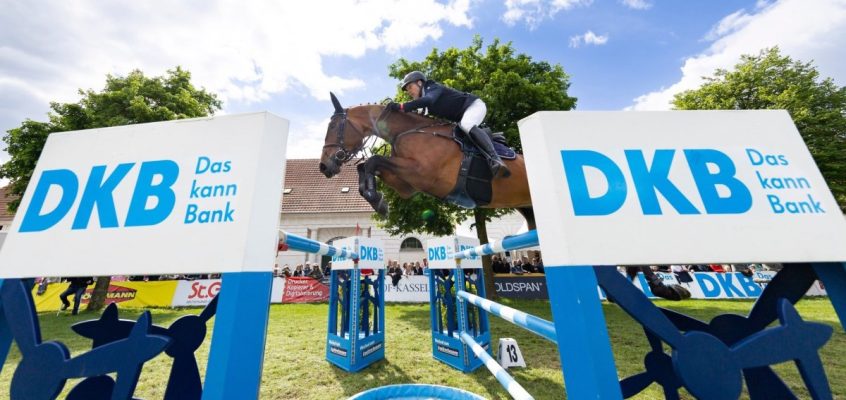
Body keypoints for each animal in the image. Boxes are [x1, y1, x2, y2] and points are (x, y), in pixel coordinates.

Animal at [322, 93, 692, 300]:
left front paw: (375, 197)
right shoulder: (408, 184)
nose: (326, 166)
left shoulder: (422, 173)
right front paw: (377, 198)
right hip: (531, 210)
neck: (410, 130)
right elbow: (369, 165)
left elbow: (373, 160)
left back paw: (664, 288)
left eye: (332, 128)